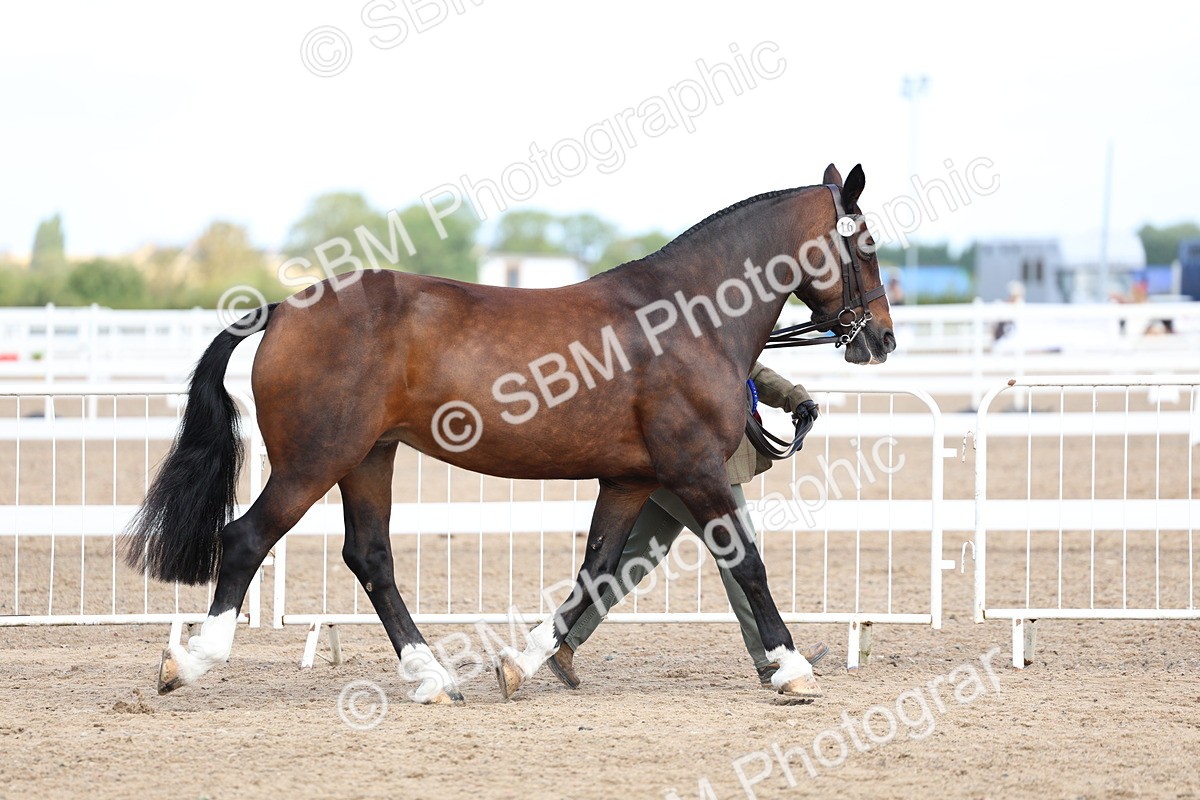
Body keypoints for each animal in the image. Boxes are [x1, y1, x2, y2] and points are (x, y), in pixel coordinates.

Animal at [123, 163, 894, 705]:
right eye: (867, 246)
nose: (881, 339)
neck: (689, 317)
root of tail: (283, 309)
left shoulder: (631, 479)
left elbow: (596, 570)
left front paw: (520, 665)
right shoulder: (695, 468)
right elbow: (747, 562)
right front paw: (791, 668)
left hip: (369, 458)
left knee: (370, 558)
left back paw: (433, 679)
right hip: (314, 462)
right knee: (246, 540)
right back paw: (189, 660)